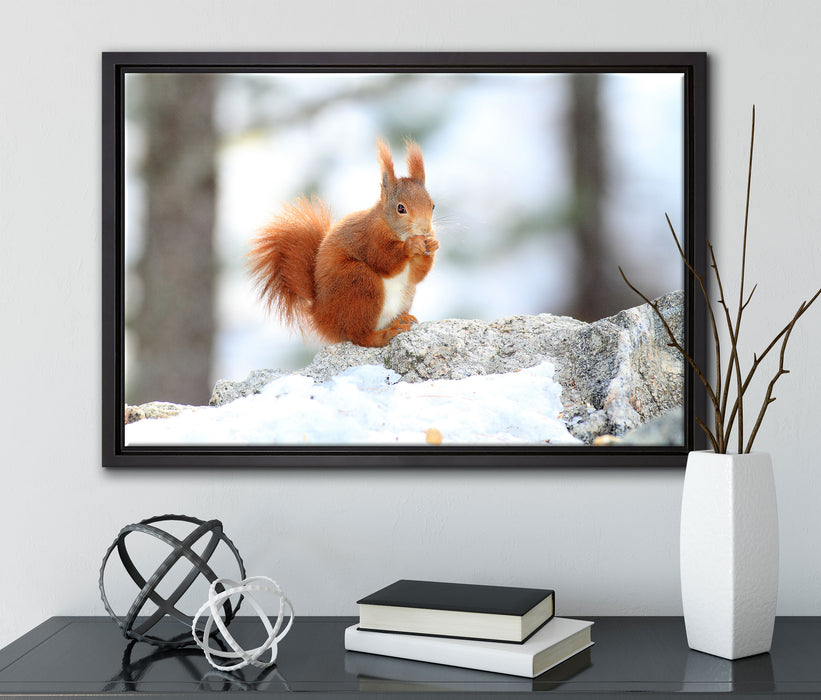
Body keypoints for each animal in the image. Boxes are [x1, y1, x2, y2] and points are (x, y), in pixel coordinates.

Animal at [248, 139, 438, 348]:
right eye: (401, 208)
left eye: (432, 205)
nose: (425, 230)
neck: (392, 228)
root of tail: (320, 316)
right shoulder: (369, 238)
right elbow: (385, 261)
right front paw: (410, 246)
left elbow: (416, 275)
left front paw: (433, 244)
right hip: (358, 282)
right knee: (359, 335)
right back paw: (385, 334)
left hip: (403, 294)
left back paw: (400, 319)